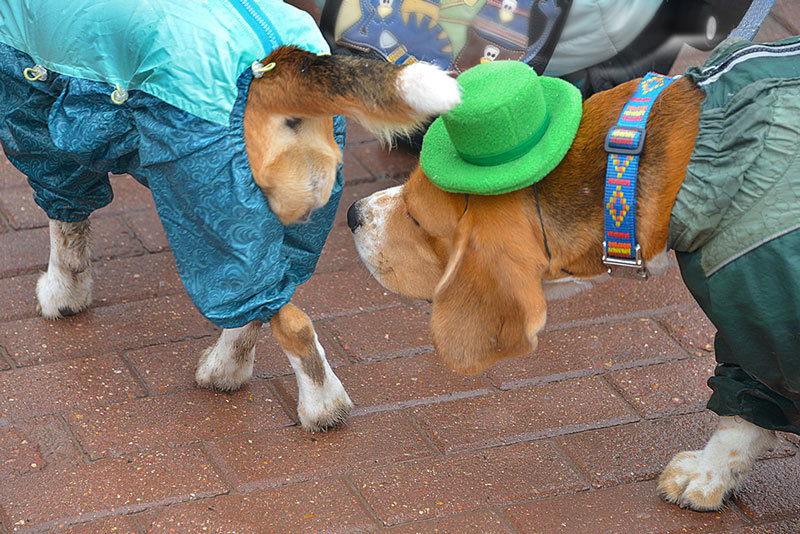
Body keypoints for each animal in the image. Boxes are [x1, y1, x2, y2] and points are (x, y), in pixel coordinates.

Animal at [37, 46, 460, 434]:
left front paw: (62, 293)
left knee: (280, 316)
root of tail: (275, 67)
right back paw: (243, 374)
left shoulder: (45, 127)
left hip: (207, 209)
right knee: (264, 304)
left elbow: (66, 229)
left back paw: (311, 403)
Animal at [348, 45, 800, 510]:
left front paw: (710, 473)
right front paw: (715, 474)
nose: (352, 213)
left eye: (416, 218)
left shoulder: (765, 320)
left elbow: (744, 411)